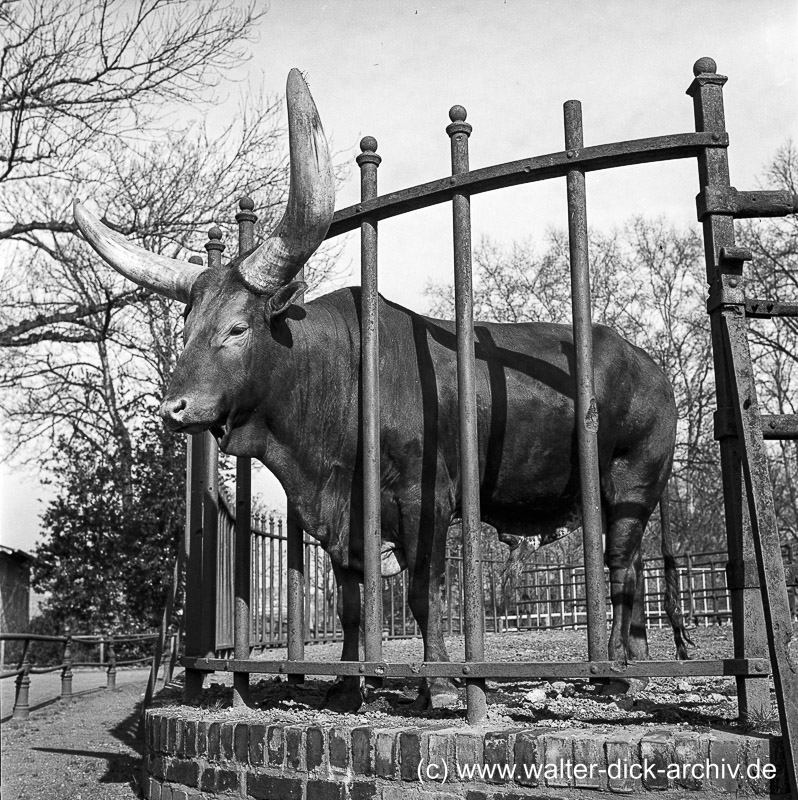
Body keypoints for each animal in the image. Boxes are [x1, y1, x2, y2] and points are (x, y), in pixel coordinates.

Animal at [73, 67, 692, 708]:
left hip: (635, 478)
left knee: (620, 567)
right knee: (630, 567)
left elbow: (424, 592)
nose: (174, 408)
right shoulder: (341, 517)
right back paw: (633, 657)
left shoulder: (429, 501)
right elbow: (351, 603)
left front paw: (439, 682)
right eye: (187, 324)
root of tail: (650, 365)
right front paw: (348, 686)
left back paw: (618, 671)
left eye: (238, 327)